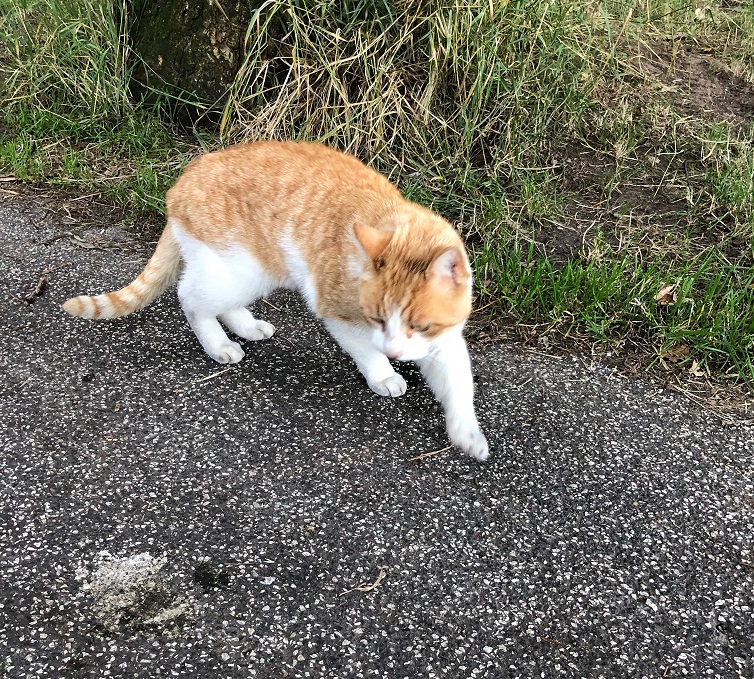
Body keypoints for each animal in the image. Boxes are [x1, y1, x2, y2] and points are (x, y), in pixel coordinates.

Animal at [63, 142, 488, 462]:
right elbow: (366, 350)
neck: (395, 220)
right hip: (241, 270)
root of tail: (185, 176)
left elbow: (459, 384)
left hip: (242, 273)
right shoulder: (338, 313)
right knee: (190, 296)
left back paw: (247, 326)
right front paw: (383, 373)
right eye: (377, 320)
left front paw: (467, 434)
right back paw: (218, 344)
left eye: (420, 326)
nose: (397, 353)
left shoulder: (445, 338)